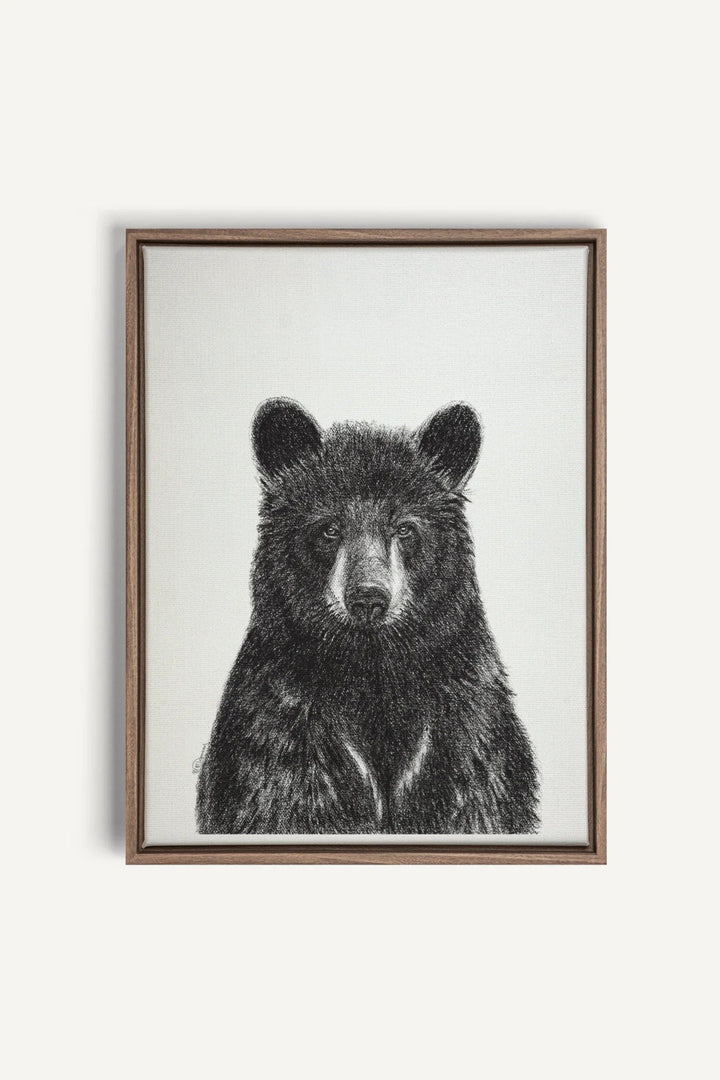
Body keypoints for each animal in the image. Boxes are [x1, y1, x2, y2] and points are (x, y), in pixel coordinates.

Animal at [196, 398, 539, 834]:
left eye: (405, 529)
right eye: (329, 529)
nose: (368, 598)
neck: (372, 670)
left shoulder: (467, 730)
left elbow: (479, 795)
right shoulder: (281, 730)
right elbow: (282, 798)